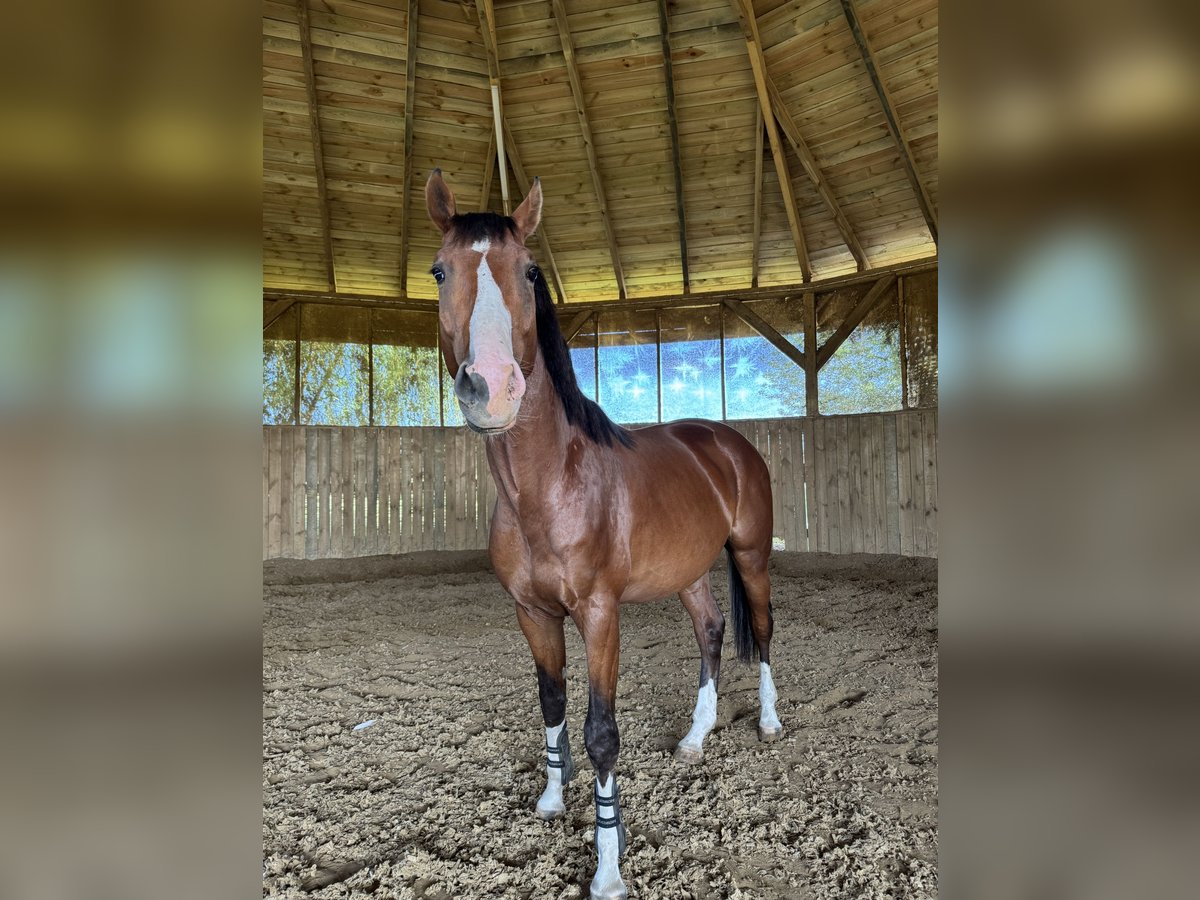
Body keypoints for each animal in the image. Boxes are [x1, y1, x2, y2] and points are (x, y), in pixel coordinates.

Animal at [427, 170, 782, 900]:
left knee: (761, 630)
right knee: (711, 631)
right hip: (690, 572)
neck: (548, 485)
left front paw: (608, 870)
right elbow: (551, 702)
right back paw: (695, 739)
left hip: (751, 556)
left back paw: (767, 722)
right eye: (440, 270)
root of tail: (728, 442)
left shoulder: (599, 614)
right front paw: (549, 800)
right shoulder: (532, 613)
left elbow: (601, 733)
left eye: (530, 271)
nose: (491, 388)